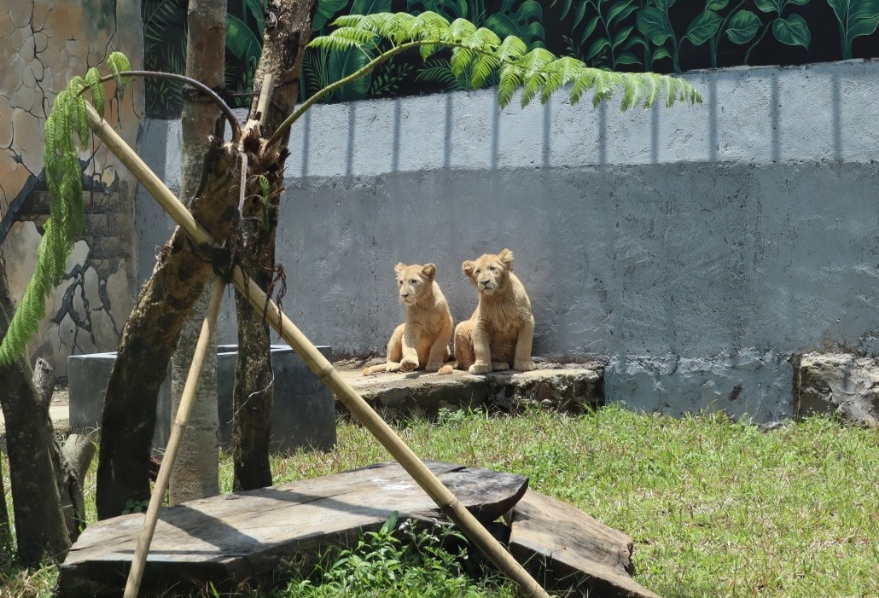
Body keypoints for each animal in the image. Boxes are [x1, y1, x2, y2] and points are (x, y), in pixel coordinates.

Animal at [444, 248, 540, 376]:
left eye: (492, 268)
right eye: (478, 271)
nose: (484, 282)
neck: (497, 297)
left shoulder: (527, 319)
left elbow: (524, 344)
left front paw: (524, 364)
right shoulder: (481, 322)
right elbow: (481, 347)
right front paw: (481, 366)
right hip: (461, 327)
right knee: (465, 363)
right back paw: (491, 365)